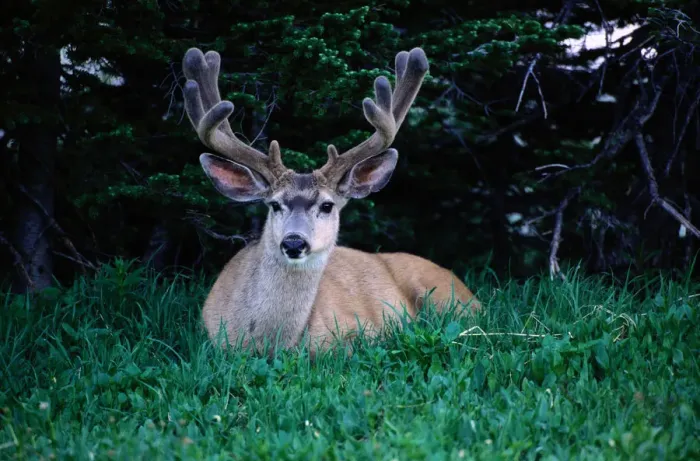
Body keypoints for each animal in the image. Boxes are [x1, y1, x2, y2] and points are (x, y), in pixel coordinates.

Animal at [181, 45, 481, 355]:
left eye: (327, 205)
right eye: (274, 204)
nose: (293, 243)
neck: (266, 341)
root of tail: (467, 289)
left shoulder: (361, 330)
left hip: (448, 300)